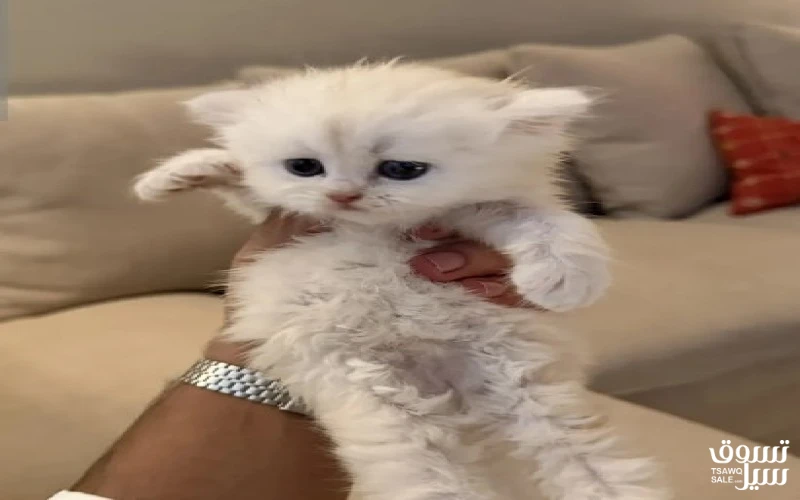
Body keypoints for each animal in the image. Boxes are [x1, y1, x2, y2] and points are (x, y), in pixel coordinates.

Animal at [134, 63, 668, 500]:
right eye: (304, 166)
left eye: (401, 169)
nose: (343, 195)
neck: (376, 231)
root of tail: (440, 381)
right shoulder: (282, 220)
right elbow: (245, 185)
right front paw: (175, 175)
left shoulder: (482, 211)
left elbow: (543, 220)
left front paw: (564, 275)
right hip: (368, 389)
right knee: (420, 465)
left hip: (519, 378)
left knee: (577, 452)